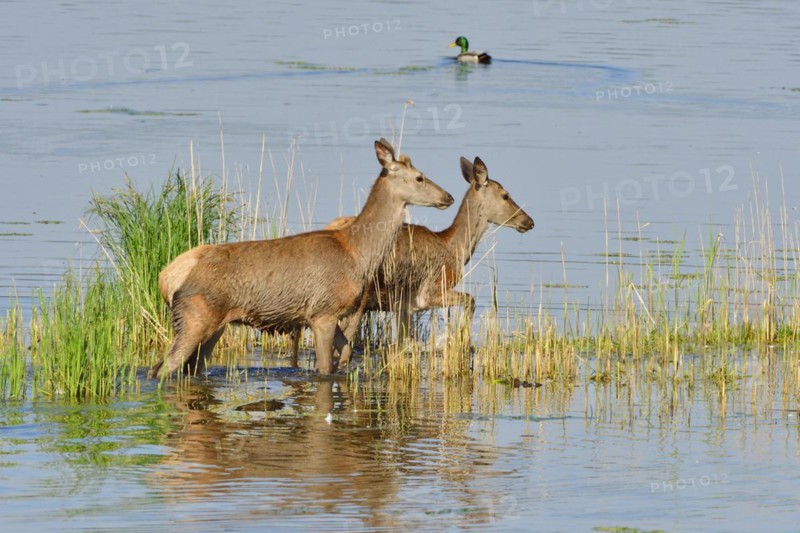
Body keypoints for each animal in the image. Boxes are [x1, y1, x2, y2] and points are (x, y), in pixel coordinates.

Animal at [149, 138, 454, 378]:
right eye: (419, 177)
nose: (448, 196)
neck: (358, 253)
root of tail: (166, 279)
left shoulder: (323, 313)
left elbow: (346, 352)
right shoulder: (323, 311)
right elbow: (326, 370)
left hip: (215, 326)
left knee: (191, 367)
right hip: (195, 316)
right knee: (161, 368)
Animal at [312, 155, 534, 367]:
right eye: (505, 195)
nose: (529, 221)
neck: (455, 249)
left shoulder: (404, 307)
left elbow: (402, 343)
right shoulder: (431, 291)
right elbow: (470, 300)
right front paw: (462, 341)